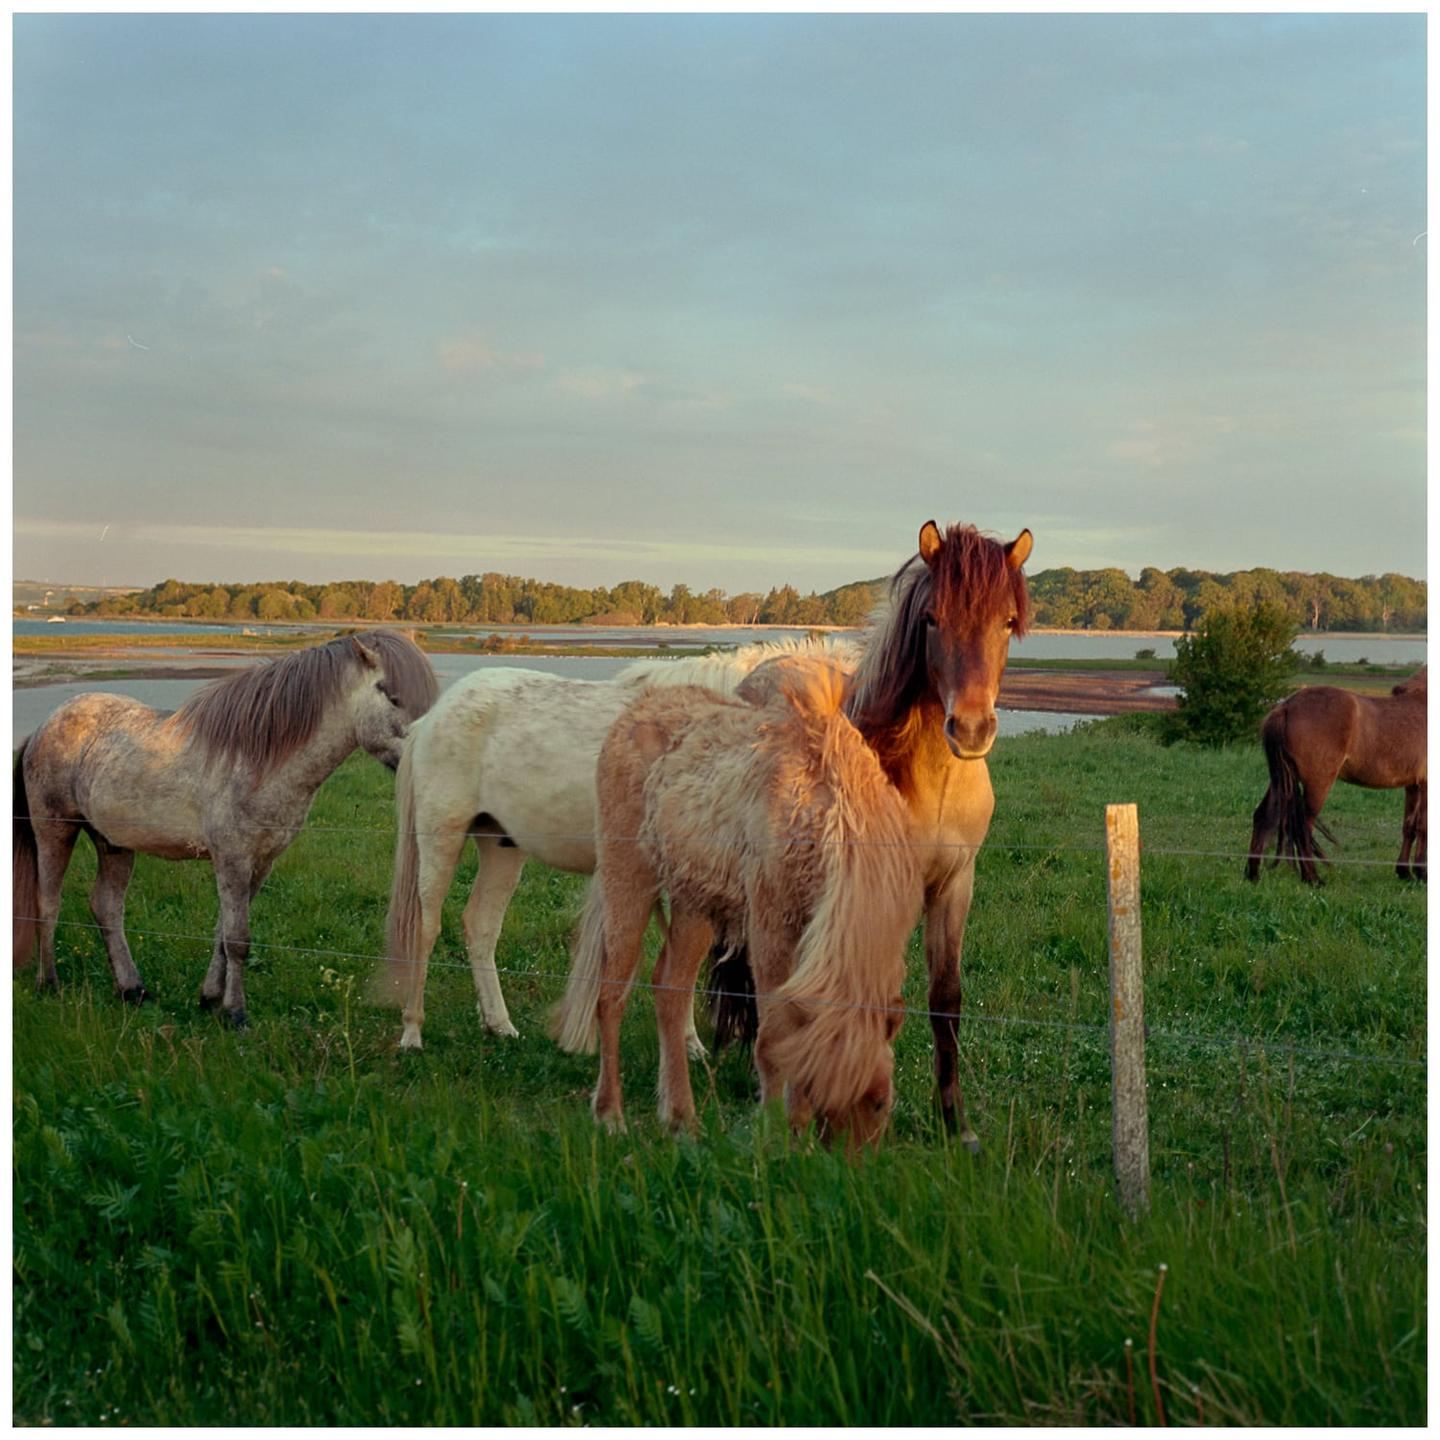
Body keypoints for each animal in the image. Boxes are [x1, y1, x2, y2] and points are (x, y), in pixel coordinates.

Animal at [13, 630, 438, 1027]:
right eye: (392, 696)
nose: (425, 761)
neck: (260, 760)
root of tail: (45, 725)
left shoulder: (260, 862)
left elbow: (222, 934)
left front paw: (210, 1000)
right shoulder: (232, 858)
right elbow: (237, 939)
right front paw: (235, 1013)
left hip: (112, 843)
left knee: (107, 908)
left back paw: (132, 989)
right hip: (55, 831)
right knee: (48, 903)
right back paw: (49, 983)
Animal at [373, 637, 860, 1050]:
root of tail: (434, 715)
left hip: (500, 847)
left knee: (480, 925)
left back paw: (500, 1025)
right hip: (441, 836)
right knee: (428, 927)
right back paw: (412, 1032)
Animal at [552, 664, 923, 1147]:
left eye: (880, 1100)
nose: (846, 1159)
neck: (830, 821)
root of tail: (634, 711)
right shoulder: (770, 923)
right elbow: (772, 1041)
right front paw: (777, 1136)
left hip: (695, 905)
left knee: (669, 987)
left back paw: (681, 1118)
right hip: (628, 878)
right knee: (611, 994)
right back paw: (611, 1114)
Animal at [699, 519, 1032, 1149]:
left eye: (1006, 622)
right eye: (932, 619)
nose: (970, 728)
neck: (932, 782)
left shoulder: (955, 883)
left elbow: (945, 999)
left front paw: (957, 1125)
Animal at [1246, 666, 1427, 886]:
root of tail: (1286, 707)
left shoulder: (1413, 785)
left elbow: (1409, 826)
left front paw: (1404, 872)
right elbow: (1424, 827)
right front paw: (1421, 873)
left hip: (1281, 780)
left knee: (1263, 816)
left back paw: (1253, 876)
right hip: (1318, 783)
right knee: (1303, 825)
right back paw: (1313, 879)